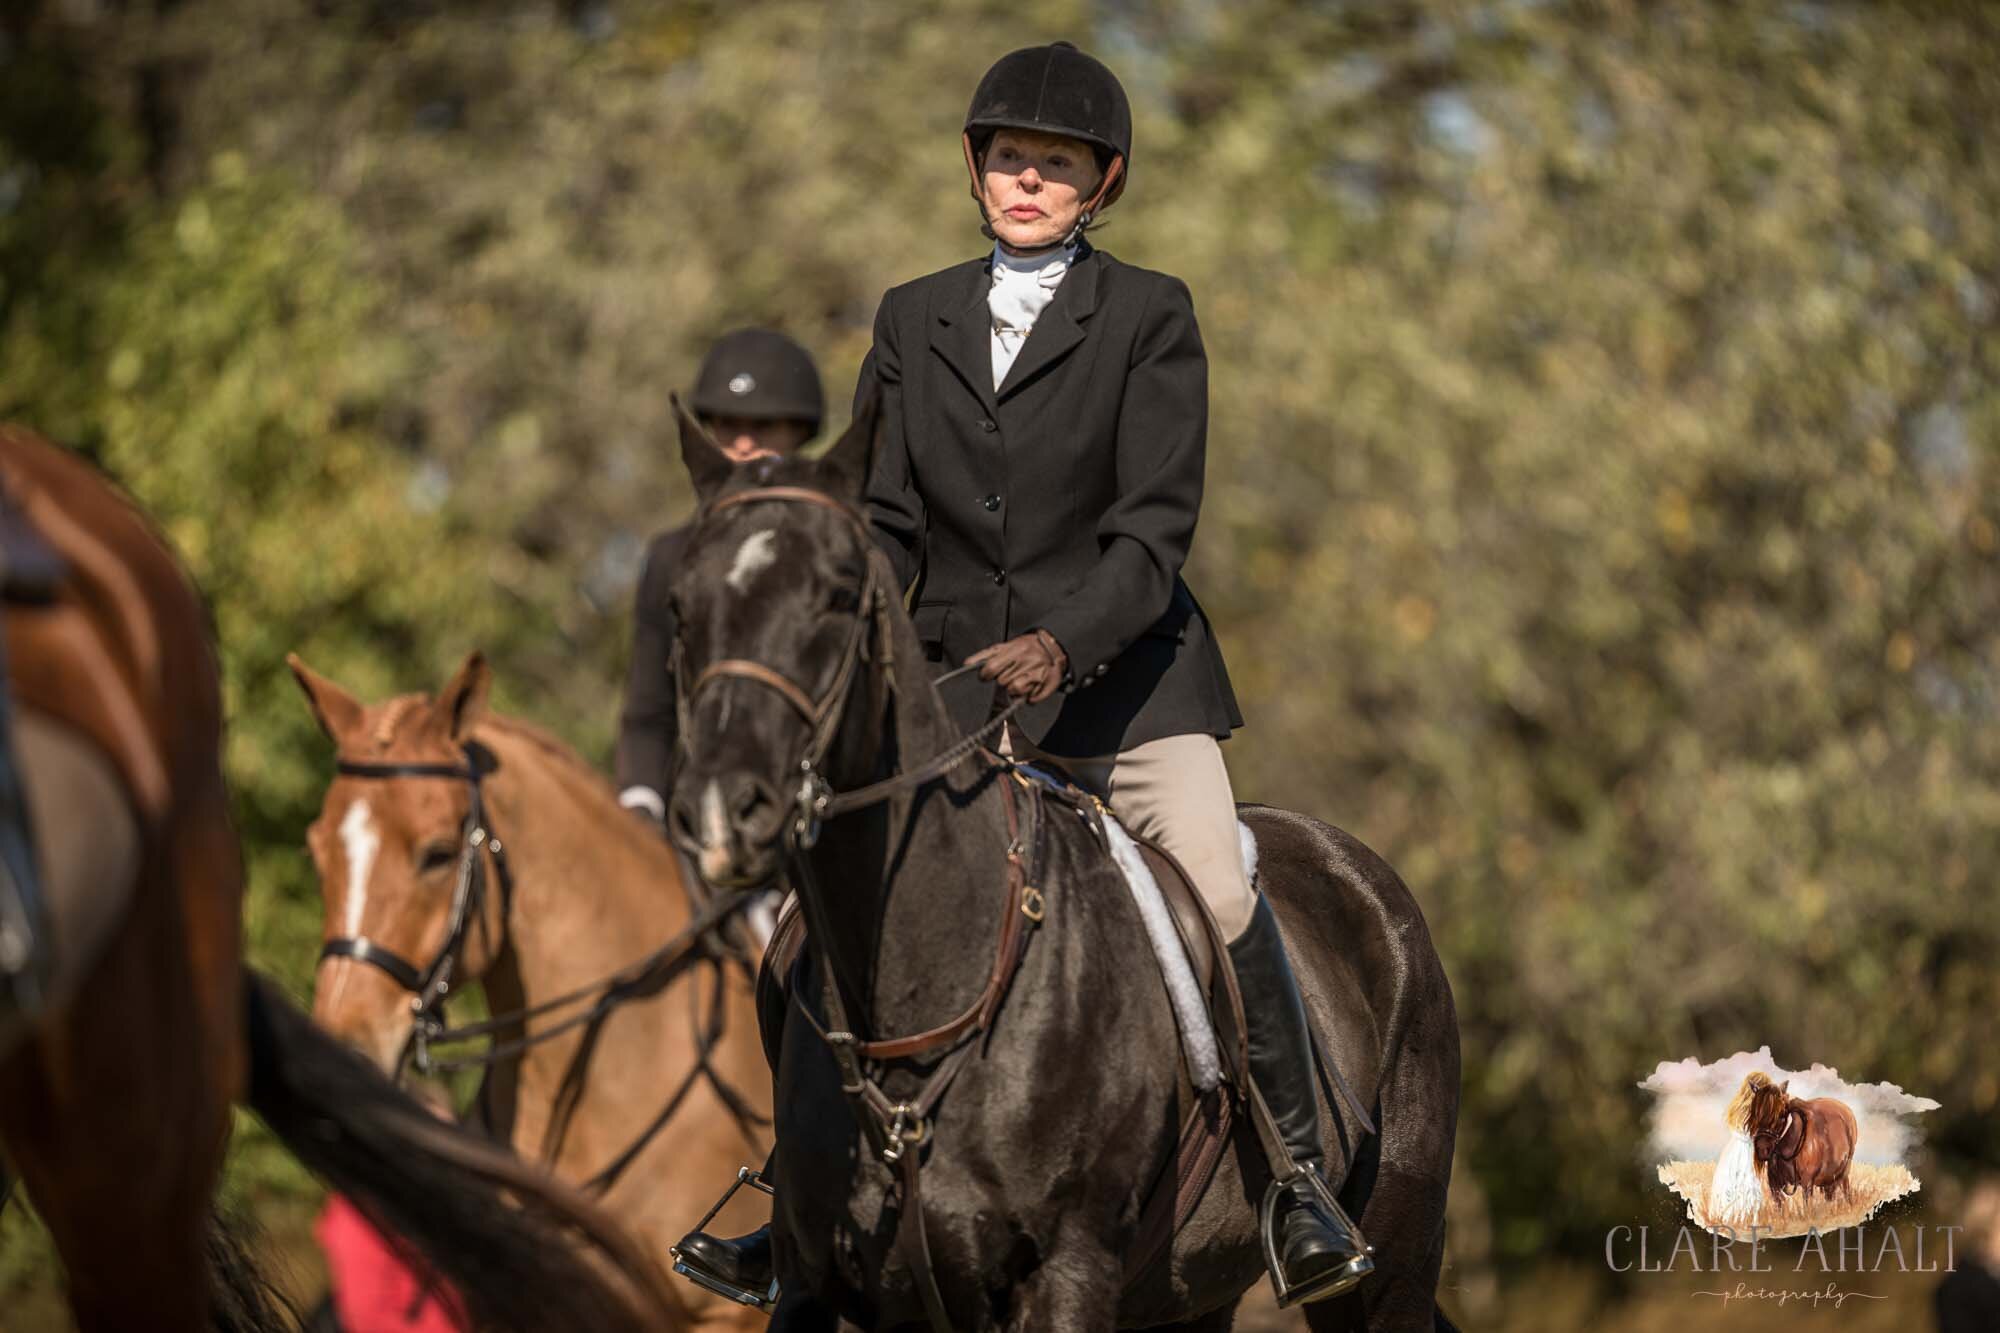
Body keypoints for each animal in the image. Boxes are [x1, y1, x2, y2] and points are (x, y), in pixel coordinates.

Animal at [664, 400, 1464, 1320]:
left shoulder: (1067, 1271)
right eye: (680, 604)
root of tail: (1358, 868)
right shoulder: (813, 1280)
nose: (721, 807)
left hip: (1392, 1263)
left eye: (836, 594)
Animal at [1752, 1072, 1856, 1208]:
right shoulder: (1775, 1186)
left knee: (1846, 1192)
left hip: (1843, 1173)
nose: (1762, 1149)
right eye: (1754, 1113)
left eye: (1781, 1115)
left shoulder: (1807, 1183)